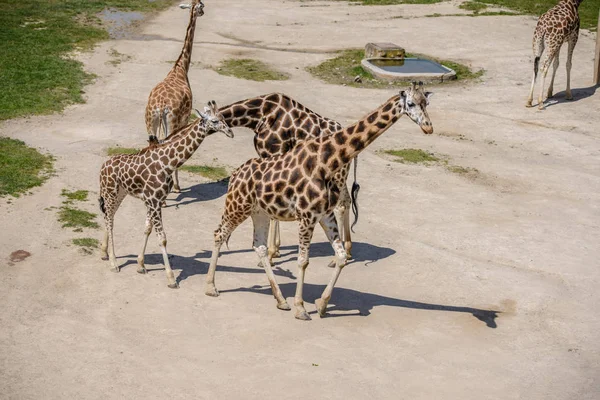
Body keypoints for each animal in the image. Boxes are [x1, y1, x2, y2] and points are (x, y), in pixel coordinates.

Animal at [98, 100, 232, 288]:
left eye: (223, 118)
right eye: (214, 120)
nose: (230, 132)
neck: (168, 163)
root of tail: (103, 167)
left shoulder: (154, 200)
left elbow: (147, 229)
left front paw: (140, 265)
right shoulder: (154, 201)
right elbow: (162, 238)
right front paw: (171, 278)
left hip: (120, 193)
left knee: (108, 216)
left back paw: (104, 253)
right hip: (110, 192)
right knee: (110, 220)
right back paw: (113, 262)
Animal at [144, 0, 205, 192]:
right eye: (201, 5)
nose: (203, 11)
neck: (180, 68)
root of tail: (160, 106)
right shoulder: (183, 120)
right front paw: (177, 186)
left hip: (151, 121)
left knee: (152, 144)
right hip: (170, 121)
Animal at [218, 93, 358, 266]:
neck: (257, 114)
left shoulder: (274, 153)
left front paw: (271, 254)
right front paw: (276, 250)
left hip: (336, 174)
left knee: (339, 206)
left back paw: (336, 258)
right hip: (339, 175)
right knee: (347, 200)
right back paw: (348, 251)